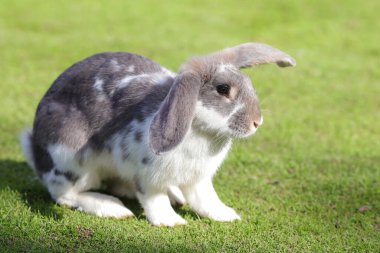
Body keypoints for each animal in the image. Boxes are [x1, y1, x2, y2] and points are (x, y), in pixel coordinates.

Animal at [19, 42, 296, 226]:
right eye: (223, 89)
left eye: (249, 84)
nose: (257, 122)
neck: (199, 129)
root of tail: (36, 151)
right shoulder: (149, 177)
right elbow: (154, 200)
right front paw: (171, 222)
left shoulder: (199, 178)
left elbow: (206, 199)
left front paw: (226, 215)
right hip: (70, 158)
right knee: (64, 195)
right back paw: (112, 207)